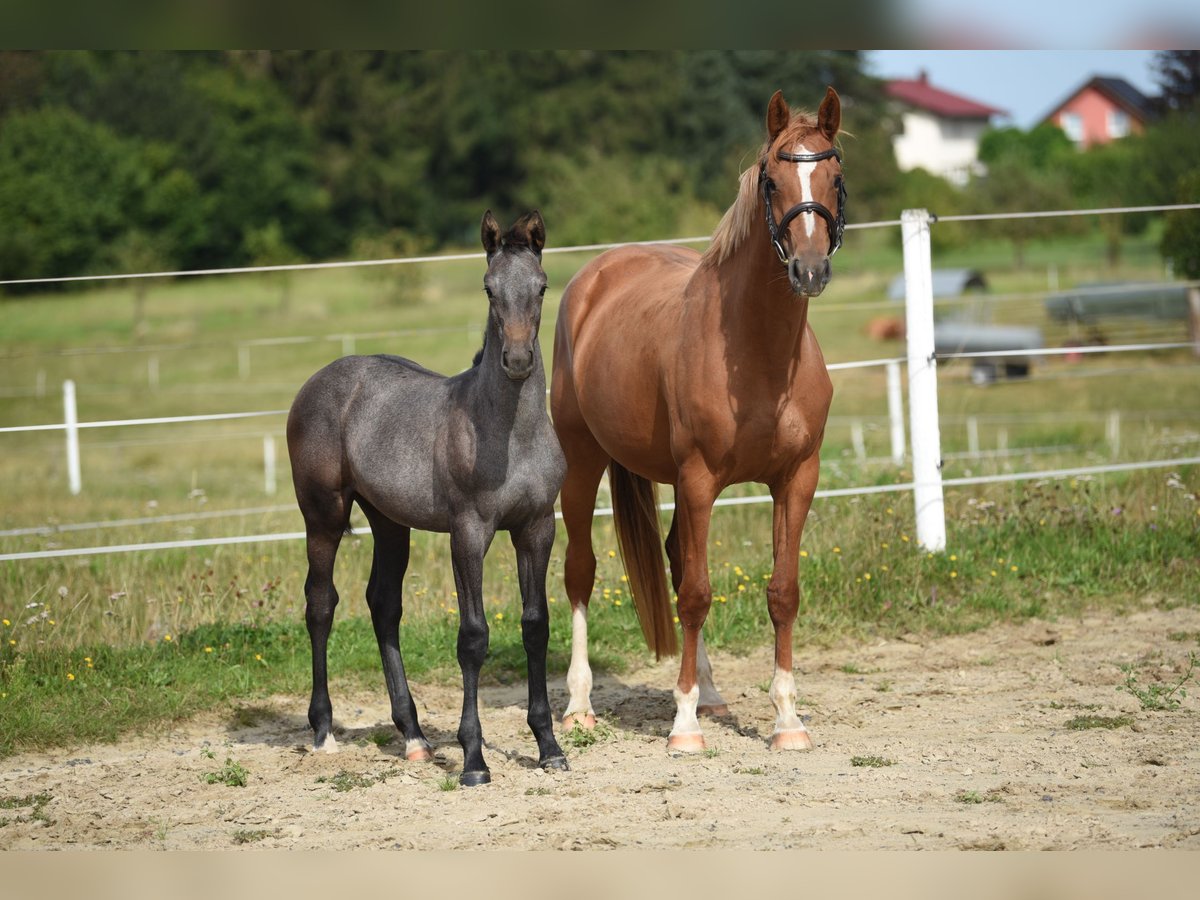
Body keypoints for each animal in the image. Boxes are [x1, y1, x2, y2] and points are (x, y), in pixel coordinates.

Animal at [290, 213, 571, 787]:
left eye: (541, 286)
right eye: (488, 289)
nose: (516, 360)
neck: (509, 436)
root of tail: (318, 380)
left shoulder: (537, 528)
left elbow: (536, 627)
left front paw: (549, 746)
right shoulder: (468, 533)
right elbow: (473, 637)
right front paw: (474, 760)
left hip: (389, 521)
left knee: (383, 605)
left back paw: (415, 737)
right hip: (323, 515)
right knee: (320, 603)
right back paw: (323, 730)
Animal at [549, 90, 844, 753]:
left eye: (835, 178)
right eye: (771, 178)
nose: (809, 270)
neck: (759, 355)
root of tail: (595, 278)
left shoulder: (796, 480)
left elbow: (781, 592)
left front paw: (787, 720)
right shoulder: (701, 478)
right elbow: (696, 595)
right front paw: (683, 727)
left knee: (676, 559)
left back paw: (708, 693)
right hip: (582, 463)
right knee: (581, 573)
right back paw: (579, 706)